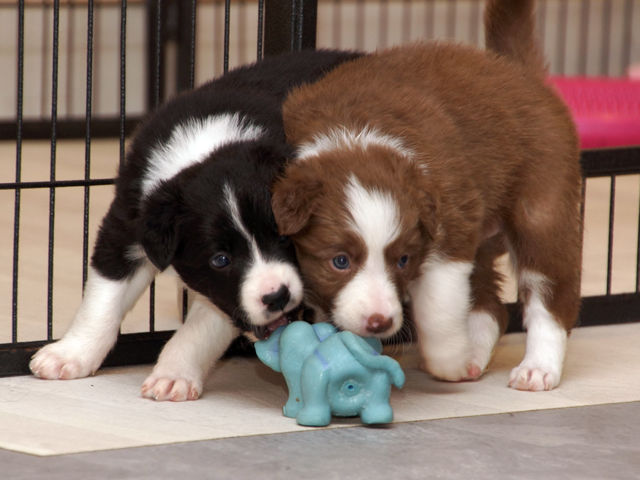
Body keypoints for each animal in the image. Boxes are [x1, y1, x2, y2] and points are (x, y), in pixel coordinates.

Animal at [29, 49, 361, 401]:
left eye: (285, 238)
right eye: (221, 259)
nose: (277, 296)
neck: (207, 148)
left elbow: (202, 327)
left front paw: (174, 375)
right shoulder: (128, 223)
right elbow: (103, 297)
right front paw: (70, 354)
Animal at [272, 0, 582, 392]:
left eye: (404, 260)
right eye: (339, 261)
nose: (379, 322)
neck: (353, 137)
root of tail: (517, 71)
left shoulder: (449, 229)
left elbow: (439, 309)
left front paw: (449, 361)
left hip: (542, 209)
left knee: (550, 299)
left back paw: (536, 369)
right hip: (485, 232)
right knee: (492, 307)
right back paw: (475, 354)